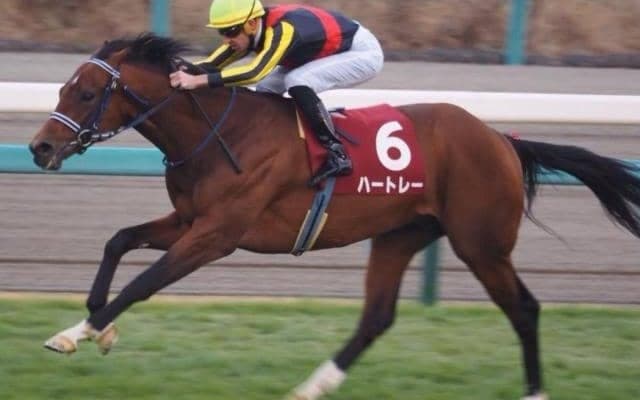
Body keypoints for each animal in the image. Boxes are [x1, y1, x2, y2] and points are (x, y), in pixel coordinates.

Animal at [28, 33, 640, 400]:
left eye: (86, 92)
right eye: (63, 86)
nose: (39, 148)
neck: (219, 133)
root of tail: (501, 139)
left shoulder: (217, 235)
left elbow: (144, 283)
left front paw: (79, 333)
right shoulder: (189, 221)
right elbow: (118, 240)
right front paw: (93, 328)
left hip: (481, 242)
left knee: (525, 309)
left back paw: (535, 391)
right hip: (400, 235)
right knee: (377, 317)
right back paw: (313, 386)